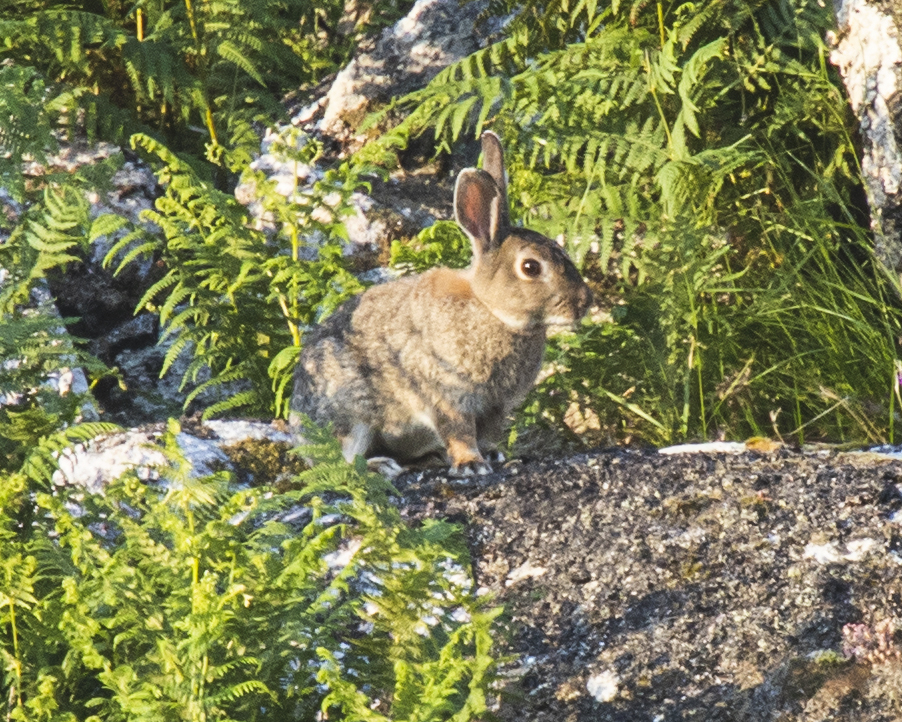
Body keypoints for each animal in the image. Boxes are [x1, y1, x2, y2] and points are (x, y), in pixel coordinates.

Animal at [294, 131, 596, 476]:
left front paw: (492, 455)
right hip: (349, 413)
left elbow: (486, 434)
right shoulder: (446, 394)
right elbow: (459, 431)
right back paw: (379, 466)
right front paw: (471, 464)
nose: (584, 303)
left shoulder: (494, 408)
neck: (491, 310)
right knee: (342, 463)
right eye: (531, 267)